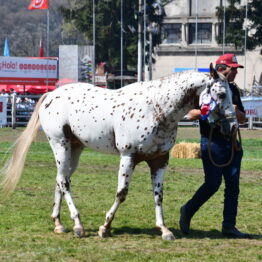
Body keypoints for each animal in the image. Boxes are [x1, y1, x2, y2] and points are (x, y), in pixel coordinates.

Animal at [0, 63, 237, 239]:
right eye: (221, 94)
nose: (233, 127)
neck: (157, 109)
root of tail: (50, 95)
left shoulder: (160, 160)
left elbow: (158, 195)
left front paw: (164, 230)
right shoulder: (128, 157)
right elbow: (121, 193)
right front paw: (105, 227)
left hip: (74, 149)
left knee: (60, 179)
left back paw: (59, 223)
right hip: (60, 145)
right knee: (64, 182)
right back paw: (78, 225)